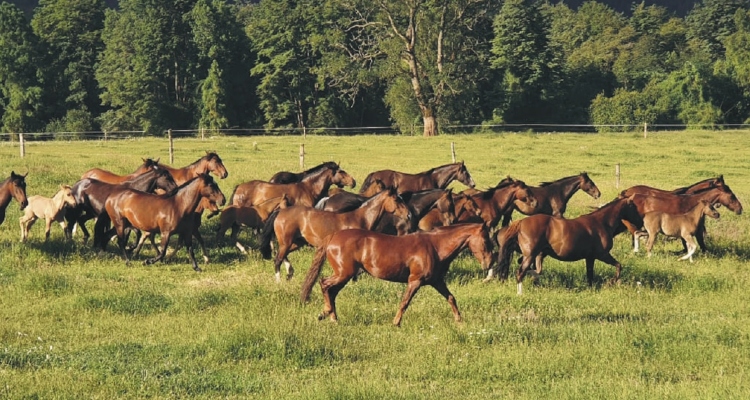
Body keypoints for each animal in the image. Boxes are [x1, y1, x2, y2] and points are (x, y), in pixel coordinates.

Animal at [258, 188, 412, 284]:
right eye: (397, 200)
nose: (409, 215)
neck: (360, 218)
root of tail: (281, 211)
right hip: (287, 241)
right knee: (277, 259)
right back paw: (279, 280)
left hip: (296, 242)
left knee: (282, 255)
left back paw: (290, 273)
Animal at [316, 223, 496, 326]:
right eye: (486, 241)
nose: (489, 264)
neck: (435, 247)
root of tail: (333, 237)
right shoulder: (415, 281)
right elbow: (405, 302)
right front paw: (396, 323)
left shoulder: (437, 281)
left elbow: (451, 298)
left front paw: (459, 320)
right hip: (343, 274)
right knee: (324, 284)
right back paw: (325, 313)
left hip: (343, 276)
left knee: (331, 291)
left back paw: (333, 317)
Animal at [496, 196, 644, 294]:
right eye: (633, 207)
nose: (641, 222)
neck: (602, 223)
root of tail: (521, 222)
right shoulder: (602, 254)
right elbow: (618, 265)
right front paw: (612, 282)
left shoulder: (590, 257)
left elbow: (590, 274)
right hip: (530, 255)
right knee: (520, 272)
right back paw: (520, 293)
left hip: (537, 255)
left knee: (535, 270)